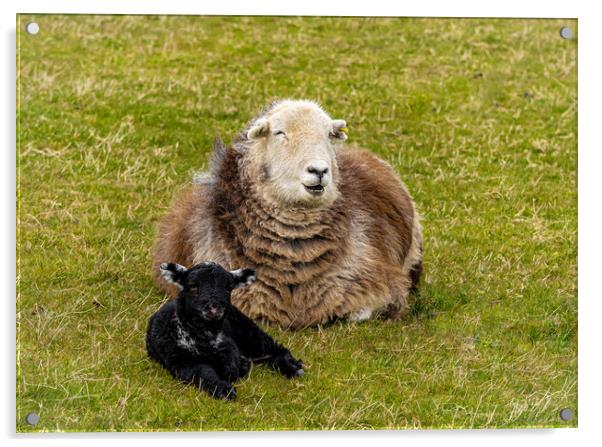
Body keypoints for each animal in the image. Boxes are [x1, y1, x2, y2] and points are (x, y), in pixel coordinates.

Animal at [146, 260, 304, 400]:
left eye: (228, 288)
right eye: (193, 287)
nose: (214, 307)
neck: (206, 336)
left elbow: (231, 367)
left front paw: (239, 367)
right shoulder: (182, 361)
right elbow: (204, 372)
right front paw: (223, 390)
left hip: (247, 329)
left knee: (271, 348)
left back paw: (293, 367)